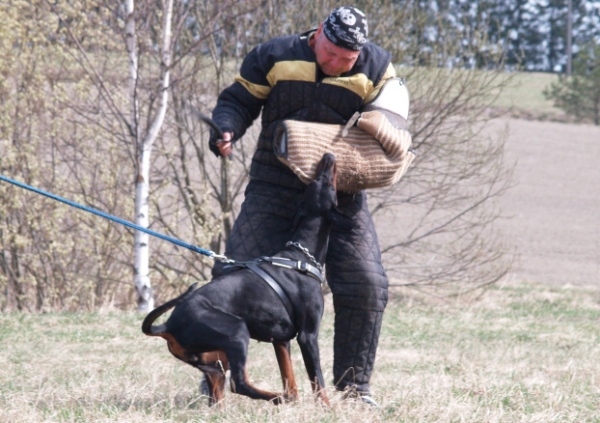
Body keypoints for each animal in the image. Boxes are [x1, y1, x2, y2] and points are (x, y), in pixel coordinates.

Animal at [142, 153, 346, 408]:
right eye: (326, 183)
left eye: (315, 183)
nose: (328, 157)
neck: (300, 256)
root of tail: (168, 325)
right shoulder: (308, 336)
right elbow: (318, 381)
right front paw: (327, 409)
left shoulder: (281, 340)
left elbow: (290, 378)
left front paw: (294, 399)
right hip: (237, 332)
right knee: (238, 383)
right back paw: (275, 397)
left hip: (214, 357)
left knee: (217, 383)